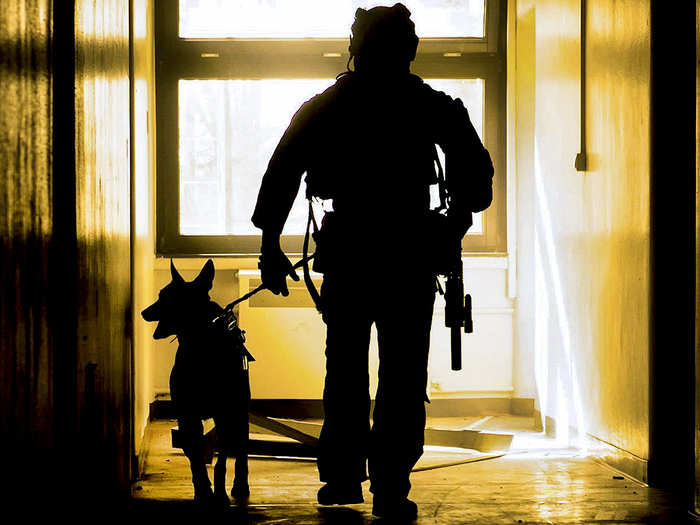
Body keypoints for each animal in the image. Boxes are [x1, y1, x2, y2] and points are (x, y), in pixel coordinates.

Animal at [142, 260, 252, 506]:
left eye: (165, 297)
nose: (143, 312)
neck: (200, 344)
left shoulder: (224, 413)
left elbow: (221, 461)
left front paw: (219, 493)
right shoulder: (186, 414)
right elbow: (195, 458)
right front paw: (203, 491)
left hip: (240, 408)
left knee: (241, 446)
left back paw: (240, 484)